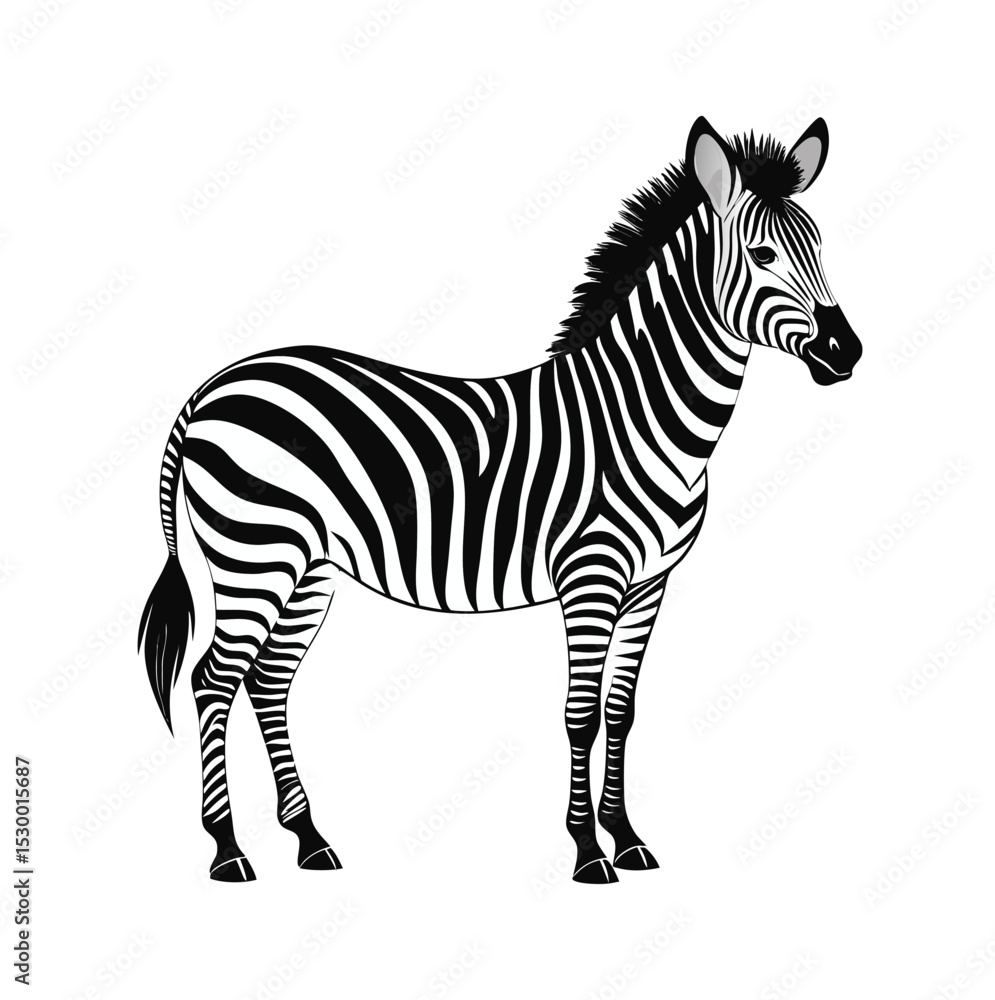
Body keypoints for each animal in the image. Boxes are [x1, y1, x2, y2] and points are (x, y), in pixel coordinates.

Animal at [138, 116, 861, 884]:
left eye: (819, 246)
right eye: (761, 254)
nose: (846, 352)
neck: (642, 415)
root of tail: (213, 386)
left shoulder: (649, 585)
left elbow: (622, 710)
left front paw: (627, 838)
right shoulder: (591, 578)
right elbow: (581, 713)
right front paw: (586, 851)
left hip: (308, 569)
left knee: (268, 682)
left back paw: (309, 838)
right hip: (254, 554)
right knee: (213, 680)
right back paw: (227, 850)